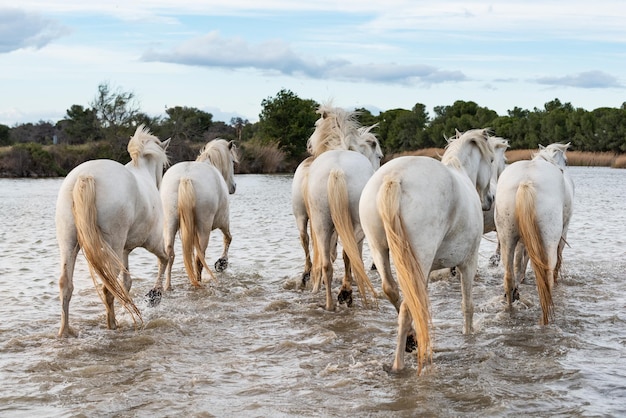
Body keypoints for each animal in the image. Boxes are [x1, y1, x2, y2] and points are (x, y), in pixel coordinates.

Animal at [54, 124, 168, 336]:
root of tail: (85, 176)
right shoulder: (152, 242)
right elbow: (165, 259)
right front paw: (155, 296)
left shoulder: (124, 250)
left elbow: (126, 282)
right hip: (112, 246)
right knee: (108, 286)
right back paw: (113, 324)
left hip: (69, 243)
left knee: (66, 284)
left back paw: (65, 331)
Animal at [156, 139, 239, 292]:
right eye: (232, 161)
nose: (233, 187)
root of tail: (185, 177)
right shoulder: (223, 222)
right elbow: (228, 238)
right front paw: (222, 263)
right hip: (204, 229)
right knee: (199, 259)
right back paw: (198, 282)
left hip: (169, 223)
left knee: (169, 254)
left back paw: (167, 287)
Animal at [296, 103, 380, 310]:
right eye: (379, 155)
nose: (309, 145)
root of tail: (337, 170)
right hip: (354, 225)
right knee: (347, 254)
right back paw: (345, 293)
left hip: (319, 223)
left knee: (326, 263)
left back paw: (329, 304)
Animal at [358, 127, 494, 372]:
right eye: (491, 160)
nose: (490, 199)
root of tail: (394, 178)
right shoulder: (468, 262)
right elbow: (467, 305)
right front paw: (468, 334)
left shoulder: (428, 270)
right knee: (406, 306)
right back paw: (399, 363)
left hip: (380, 250)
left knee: (393, 291)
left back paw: (411, 341)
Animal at [494, 142, 572, 324]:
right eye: (566, 160)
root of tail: (525, 181)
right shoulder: (563, 231)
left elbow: (520, 261)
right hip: (548, 240)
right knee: (547, 276)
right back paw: (546, 318)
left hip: (506, 236)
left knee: (508, 277)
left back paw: (511, 305)